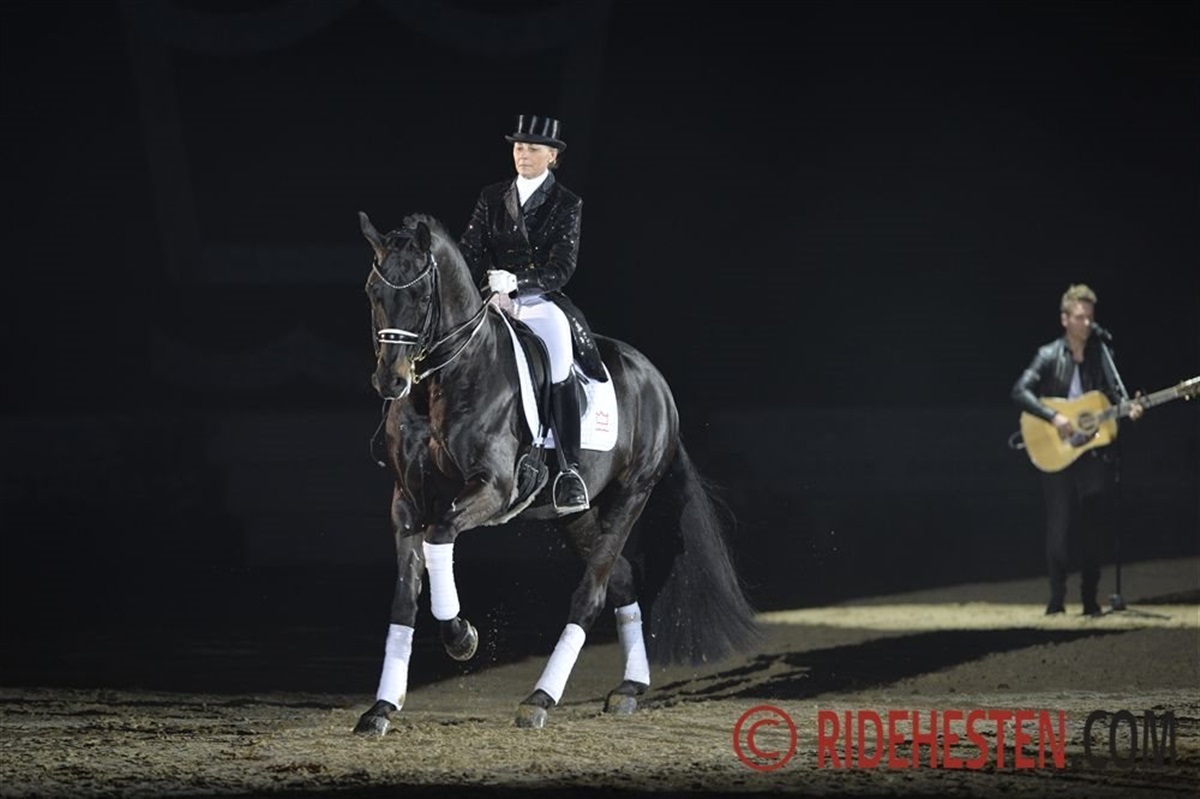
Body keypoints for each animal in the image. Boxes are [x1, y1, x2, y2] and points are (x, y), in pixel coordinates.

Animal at [353, 211, 759, 732]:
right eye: (372, 292)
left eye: (423, 297)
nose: (392, 380)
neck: (442, 384)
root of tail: (655, 382)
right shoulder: (407, 502)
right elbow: (404, 598)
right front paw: (381, 708)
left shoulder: (492, 489)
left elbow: (441, 535)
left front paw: (461, 636)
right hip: (575, 513)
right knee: (619, 577)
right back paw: (629, 687)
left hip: (632, 493)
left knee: (592, 591)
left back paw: (540, 698)